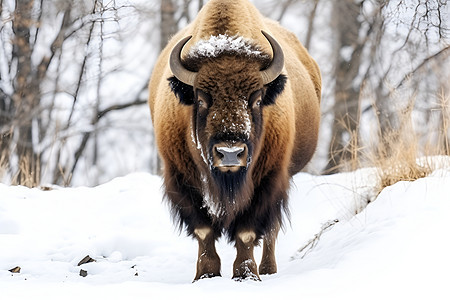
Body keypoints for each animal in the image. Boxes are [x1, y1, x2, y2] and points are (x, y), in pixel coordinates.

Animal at [148, 0, 320, 282]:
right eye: (201, 98)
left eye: (257, 98)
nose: (230, 153)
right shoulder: (181, 177)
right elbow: (204, 229)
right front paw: (206, 274)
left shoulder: (269, 178)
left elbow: (247, 231)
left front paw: (246, 275)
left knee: (272, 229)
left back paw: (268, 269)